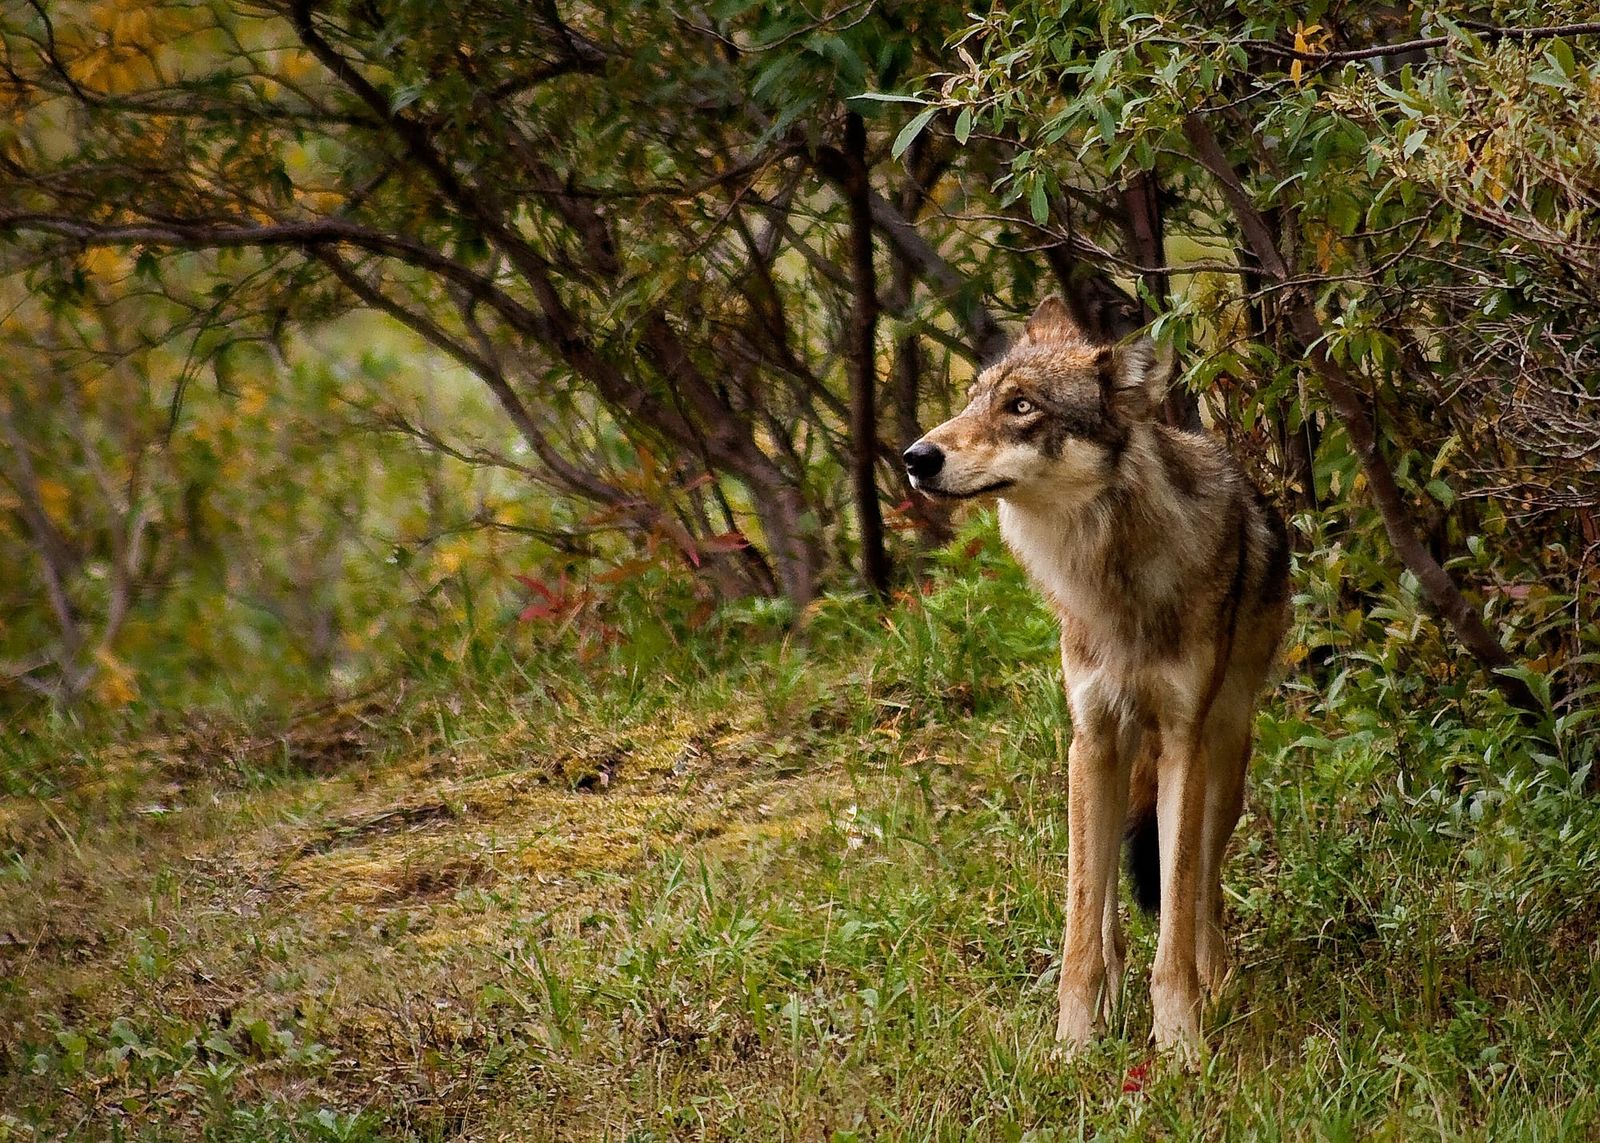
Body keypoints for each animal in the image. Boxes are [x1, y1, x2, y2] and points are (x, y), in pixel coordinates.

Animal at [903, 296, 1290, 1060]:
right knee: (1105, 894)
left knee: (1202, 890)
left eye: (1022, 406)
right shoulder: (1091, 736)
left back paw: (1216, 982)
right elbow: (1082, 922)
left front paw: (1180, 1045)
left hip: (1223, 758)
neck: (1112, 581)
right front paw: (1072, 1048)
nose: (915, 456)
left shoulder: (1182, 742)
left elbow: (1175, 913)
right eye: (972, 401)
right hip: (1104, 762)